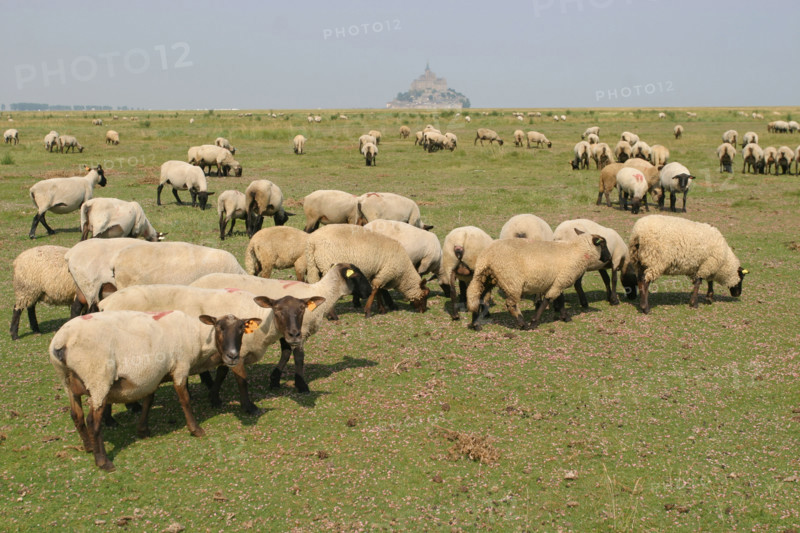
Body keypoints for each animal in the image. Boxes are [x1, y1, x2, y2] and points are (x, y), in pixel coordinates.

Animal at [49, 309, 262, 470]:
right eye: (219, 327)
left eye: (242, 330)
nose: (233, 356)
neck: (198, 337)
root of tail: (62, 341)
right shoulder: (180, 366)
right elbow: (185, 400)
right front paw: (196, 429)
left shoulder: (153, 375)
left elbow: (148, 401)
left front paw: (143, 430)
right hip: (98, 379)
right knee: (93, 421)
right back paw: (103, 462)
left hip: (68, 382)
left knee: (76, 415)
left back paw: (88, 447)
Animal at [465, 230, 611, 331]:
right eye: (603, 244)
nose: (609, 257)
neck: (577, 252)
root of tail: (487, 256)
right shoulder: (562, 279)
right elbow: (548, 299)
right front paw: (534, 322)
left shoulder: (558, 280)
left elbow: (560, 300)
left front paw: (565, 317)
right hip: (511, 281)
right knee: (511, 304)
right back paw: (523, 324)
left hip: (485, 278)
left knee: (477, 297)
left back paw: (475, 324)